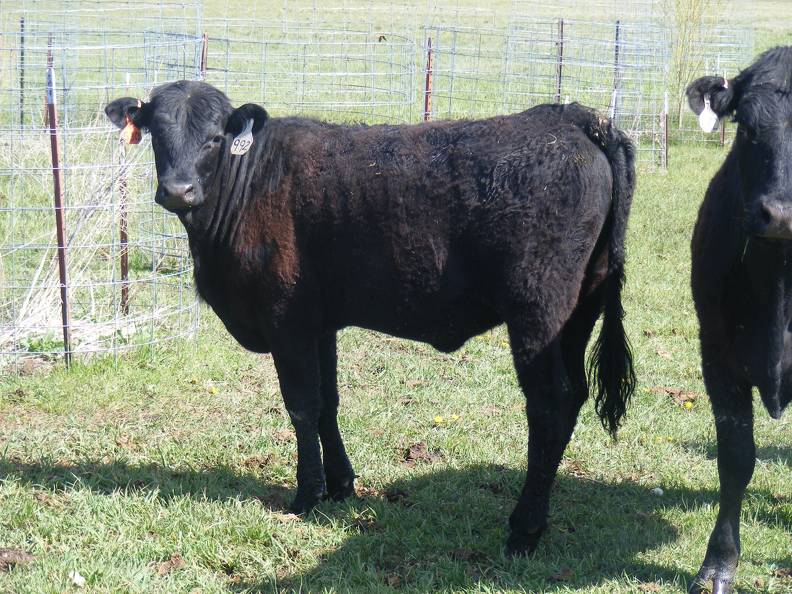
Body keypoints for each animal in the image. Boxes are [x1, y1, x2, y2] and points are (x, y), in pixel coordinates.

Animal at [105, 81, 636, 552]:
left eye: (215, 137)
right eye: (157, 133)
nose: (178, 191)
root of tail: (571, 118)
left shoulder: (286, 323)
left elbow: (301, 405)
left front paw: (307, 495)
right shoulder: (319, 323)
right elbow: (328, 402)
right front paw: (341, 485)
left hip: (538, 312)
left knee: (548, 405)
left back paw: (524, 529)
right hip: (579, 311)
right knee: (574, 397)